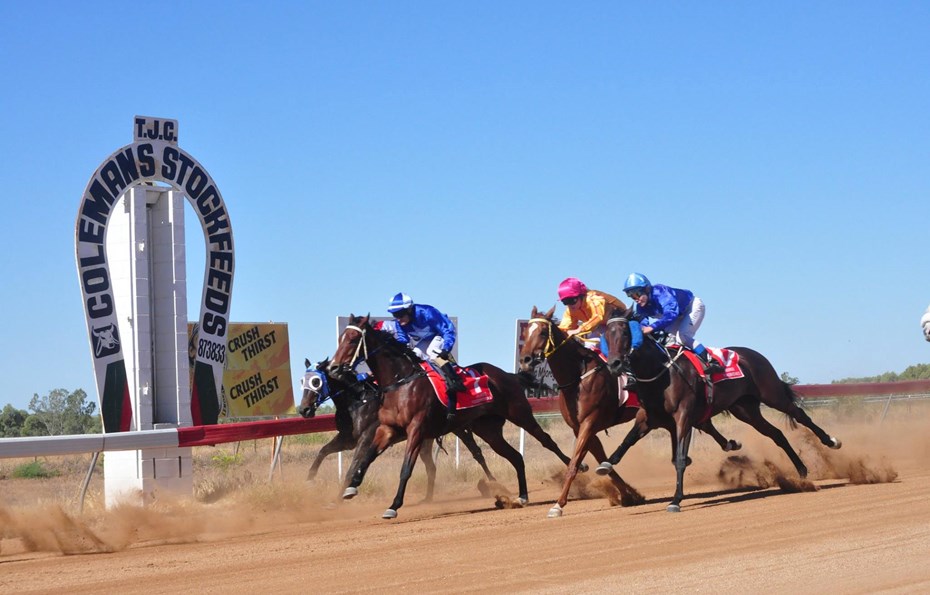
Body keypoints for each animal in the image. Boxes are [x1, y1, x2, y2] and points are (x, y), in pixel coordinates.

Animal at [324, 314, 572, 520]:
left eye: (353, 339)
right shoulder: (387, 429)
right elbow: (366, 458)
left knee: (546, 441)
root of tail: (509, 375)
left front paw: (393, 506)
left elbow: (406, 469)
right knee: (516, 457)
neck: (400, 382)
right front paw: (350, 489)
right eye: (341, 337)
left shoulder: (417, 430)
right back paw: (521, 496)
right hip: (489, 431)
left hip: (520, 414)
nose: (334, 367)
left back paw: (575, 469)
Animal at [516, 308, 740, 516]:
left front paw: (558, 505)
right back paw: (728, 444)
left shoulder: (589, 423)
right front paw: (629, 495)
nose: (525, 359)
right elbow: (602, 460)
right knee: (702, 423)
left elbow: (574, 464)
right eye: (525, 332)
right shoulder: (581, 428)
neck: (578, 377)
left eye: (542, 332)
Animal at [600, 308, 844, 512]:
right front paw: (605, 464)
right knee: (776, 434)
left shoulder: (683, 417)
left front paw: (676, 500)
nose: (614, 364)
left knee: (799, 415)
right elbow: (627, 443)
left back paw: (831, 441)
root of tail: (753, 354)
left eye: (625, 333)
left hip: (772, 394)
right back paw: (801, 471)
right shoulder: (648, 418)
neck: (661, 375)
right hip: (745, 410)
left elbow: (680, 458)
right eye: (606, 336)